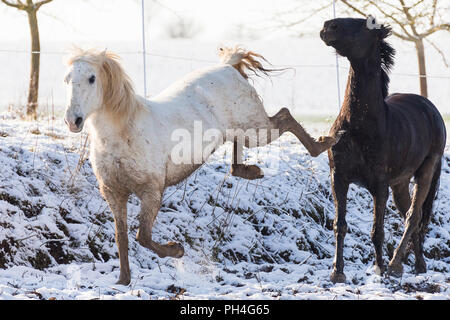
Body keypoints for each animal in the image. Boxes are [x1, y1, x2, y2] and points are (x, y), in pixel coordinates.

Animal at [64, 46, 338, 284]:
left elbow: (142, 236)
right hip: (241, 129)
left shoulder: (151, 191)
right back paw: (251, 171)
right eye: (67, 79)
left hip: (255, 129)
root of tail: (229, 66)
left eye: (91, 78)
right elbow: (122, 237)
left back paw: (324, 143)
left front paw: (177, 250)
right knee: (241, 152)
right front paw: (123, 281)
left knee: (284, 116)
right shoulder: (114, 193)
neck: (124, 133)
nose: (72, 120)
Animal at [320, 17, 446, 282]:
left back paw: (396, 264)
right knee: (410, 215)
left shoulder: (379, 186)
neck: (358, 125)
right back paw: (419, 265)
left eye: (364, 24)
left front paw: (379, 268)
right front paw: (337, 272)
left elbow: (377, 230)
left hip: (426, 172)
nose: (328, 26)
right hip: (399, 184)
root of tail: (430, 108)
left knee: (414, 216)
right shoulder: (339, 178)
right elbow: (340, 225)